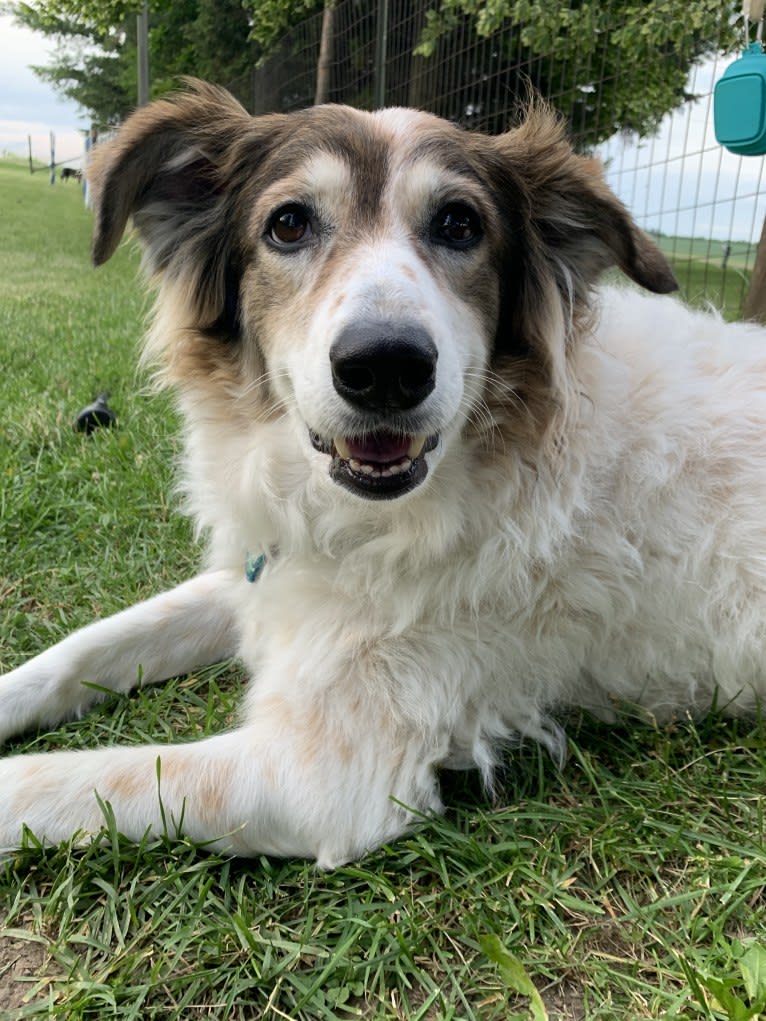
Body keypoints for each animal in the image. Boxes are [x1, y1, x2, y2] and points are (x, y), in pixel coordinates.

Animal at [1, 79, 766, 865]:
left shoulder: (324, 775)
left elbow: (58, 780)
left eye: (460, 224)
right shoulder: (271, 579)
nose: (387, 366)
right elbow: (84, 646)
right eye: (288, 224)